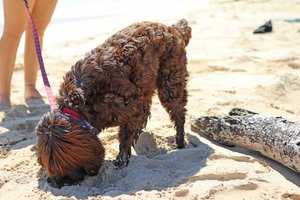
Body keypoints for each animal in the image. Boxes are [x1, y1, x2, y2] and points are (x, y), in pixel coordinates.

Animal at [34, 18, 190, 188]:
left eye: (61, 169)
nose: (57, 183)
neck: (78, 104)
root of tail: (172, 29)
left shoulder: (134, 107)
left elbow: (126, 135)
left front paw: (121, 160)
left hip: (170, 81)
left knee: (178, 112)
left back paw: (180, 142)